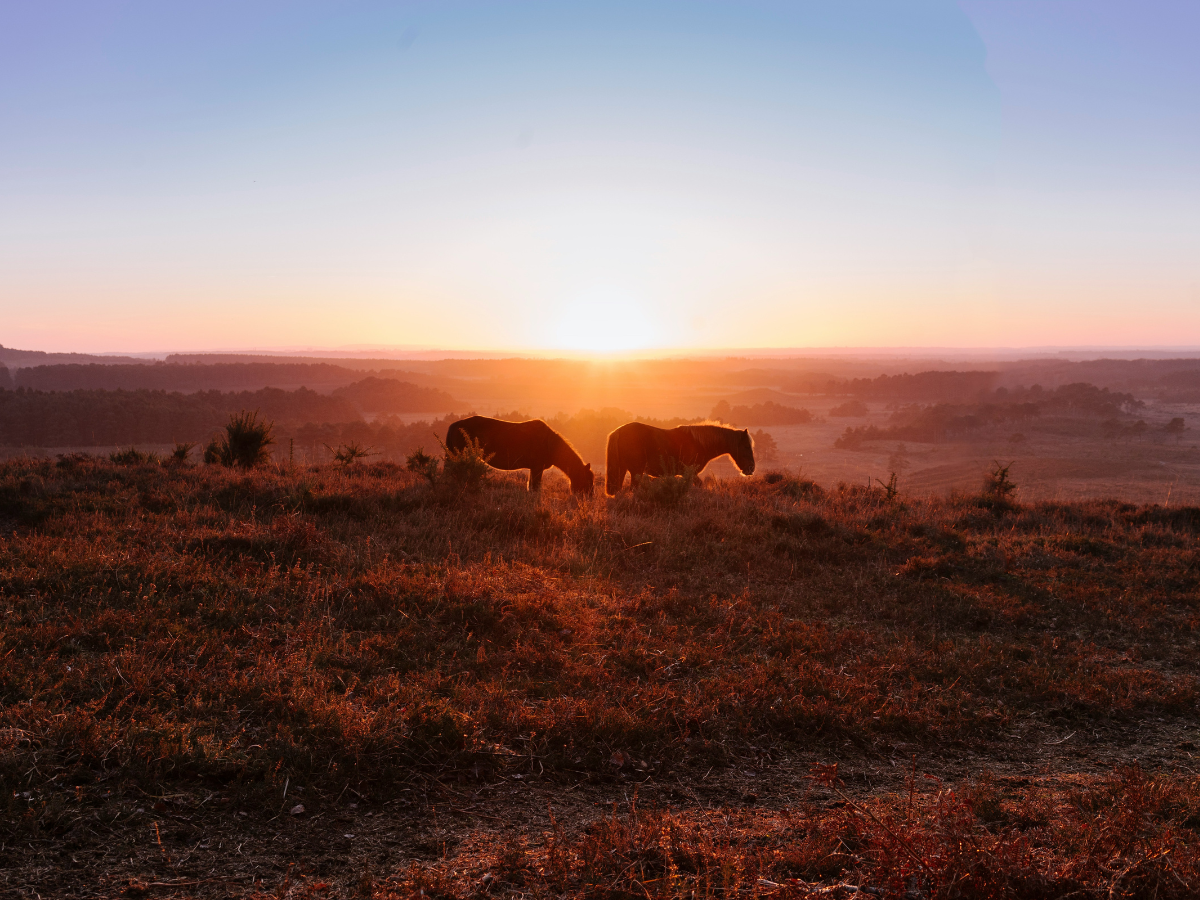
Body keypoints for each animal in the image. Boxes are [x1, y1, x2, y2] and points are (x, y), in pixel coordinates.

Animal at [445, 416, 595, 495]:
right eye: (588, 480)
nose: (589, 498)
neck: (550, 444)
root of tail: (455, 425)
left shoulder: (534, 469)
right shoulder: (537, 468)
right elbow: (535, 488)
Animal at [604, 422, 755, 495]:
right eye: (746, 446)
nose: (751, 468)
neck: (699, 443)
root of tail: (618, 431)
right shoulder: (691, 473)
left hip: (623, 469)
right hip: (636, 471)